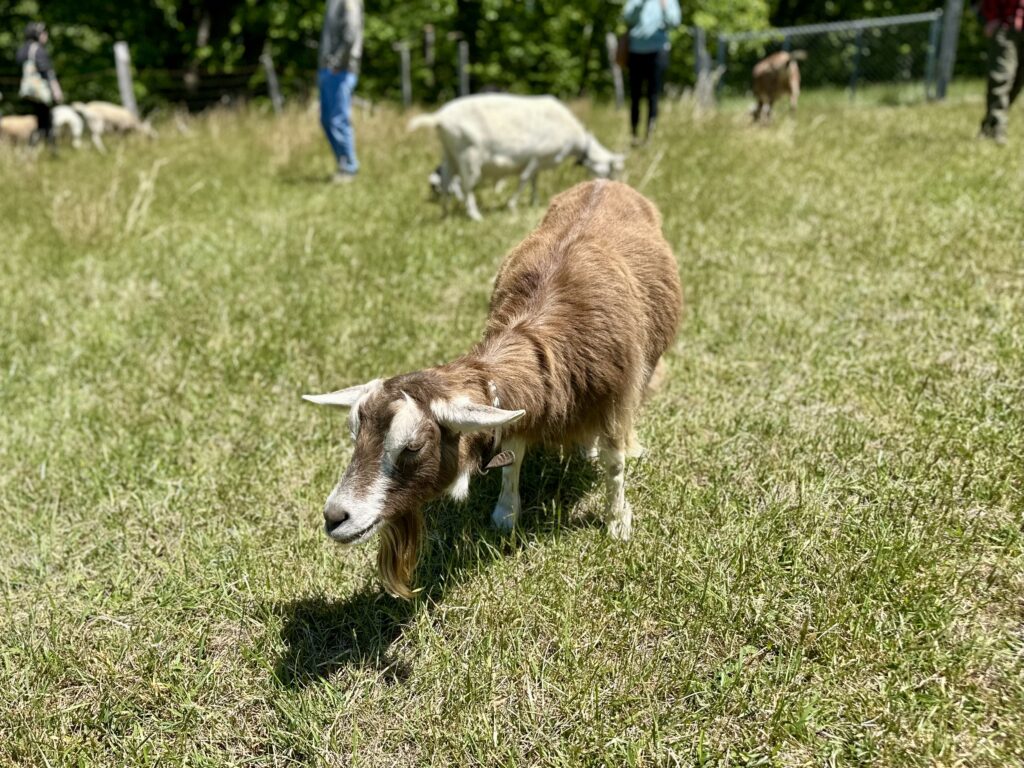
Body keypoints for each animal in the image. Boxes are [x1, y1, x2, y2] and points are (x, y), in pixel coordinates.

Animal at [304, 180, 682, 598]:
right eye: (355, 433)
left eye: (413, 446)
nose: (335, 517)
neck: (542, 340)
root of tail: (604, 181)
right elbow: (512, 456)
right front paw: (505, 514)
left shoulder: (617, 394)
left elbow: (614, 463)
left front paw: (617, 522)